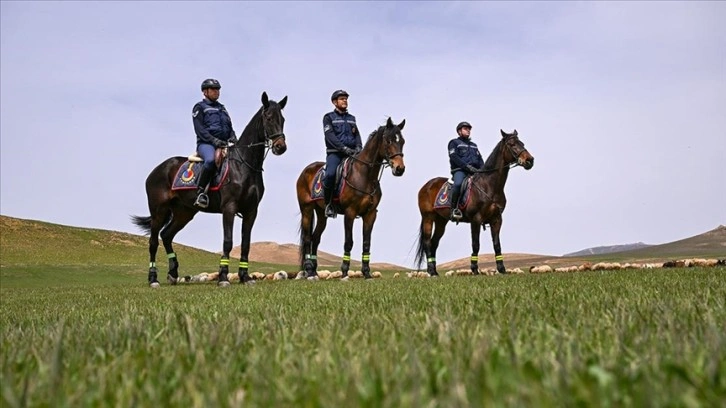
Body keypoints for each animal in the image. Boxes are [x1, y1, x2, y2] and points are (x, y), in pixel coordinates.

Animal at [132, 91, 288, 286]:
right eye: (268, 117)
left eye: (282, 119)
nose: (281, 147)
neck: (244, 165)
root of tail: (157, 170)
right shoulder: (229, 208)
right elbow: (228, 241)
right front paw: (223, 277)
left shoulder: (251, 211)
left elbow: (246, 244)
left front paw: (245, 277)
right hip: (158, 211)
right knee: (153, 242)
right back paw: (153, 279)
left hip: (184, 212)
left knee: (166, 235)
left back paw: (173, 273)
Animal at [298, 116, 410, 278]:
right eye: (388, 141)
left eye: (402, 141)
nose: (399, 168)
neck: (365, 175)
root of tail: (306, 170)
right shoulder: (350, 213)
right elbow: (348, 242)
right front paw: (344, 272)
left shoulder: (370, 214)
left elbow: (366, 243)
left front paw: (367, 273)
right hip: (306, 210)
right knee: (307, 238)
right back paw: (308, 270)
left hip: (321, 213)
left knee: (315, 237)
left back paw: (313, 270)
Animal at [416, 130, 536, 278]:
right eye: (512, 144)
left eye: (522, 143)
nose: (530, 160)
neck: (489, 186)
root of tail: (426, 185)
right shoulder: (476, 220)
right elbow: (476, 244)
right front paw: (474, 269)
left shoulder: (497, 220)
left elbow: (497, 244)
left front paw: (501, 269)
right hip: (428, 218)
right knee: (428, 243)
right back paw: (431, 271)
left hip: (441, 221)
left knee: (434, 243)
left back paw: (434, 271)